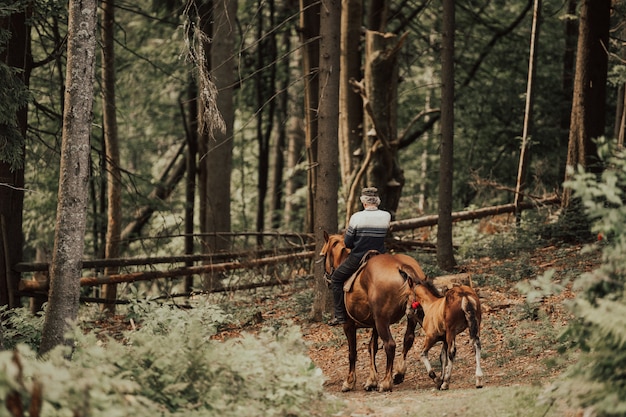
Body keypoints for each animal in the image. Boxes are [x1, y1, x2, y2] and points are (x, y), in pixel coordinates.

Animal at [320, 232, 426, 392]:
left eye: (323, 256)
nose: (327, 280)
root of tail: (400, 265)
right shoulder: (374, 324)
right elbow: (372, 347)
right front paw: (371, 381)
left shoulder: (349, 325)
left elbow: (352, 352)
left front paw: (349, 382)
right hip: (411, 316)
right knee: (408, 338)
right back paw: (399, 373)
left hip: (382, 320)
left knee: (390, 345)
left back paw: (386, 382)